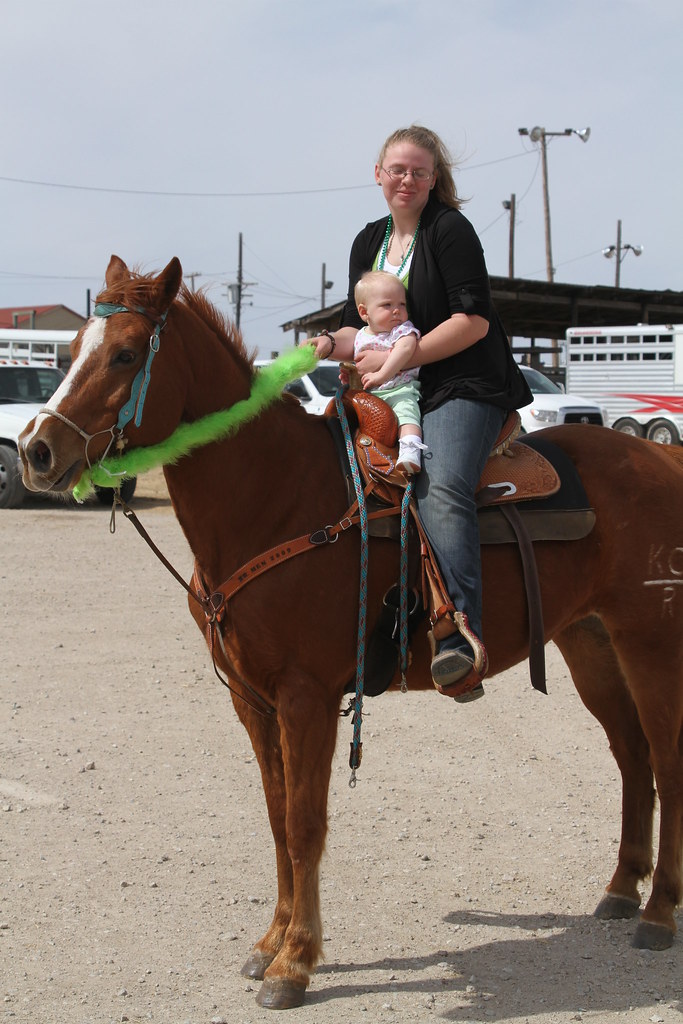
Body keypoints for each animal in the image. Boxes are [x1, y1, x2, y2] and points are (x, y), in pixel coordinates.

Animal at [18, 256, 683, 1009]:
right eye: (73, 350)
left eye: (127, 354)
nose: (36, 451)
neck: (275, 496)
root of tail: (661, 461)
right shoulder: (251, 698)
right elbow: (277, 817)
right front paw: (270, 943)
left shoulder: (306, 695)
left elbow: (306, 824)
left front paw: (295, 963)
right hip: (590, 644)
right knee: (631, 757)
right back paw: (620, 890)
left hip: (651, 644)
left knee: (665, 764)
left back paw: (659, 912)